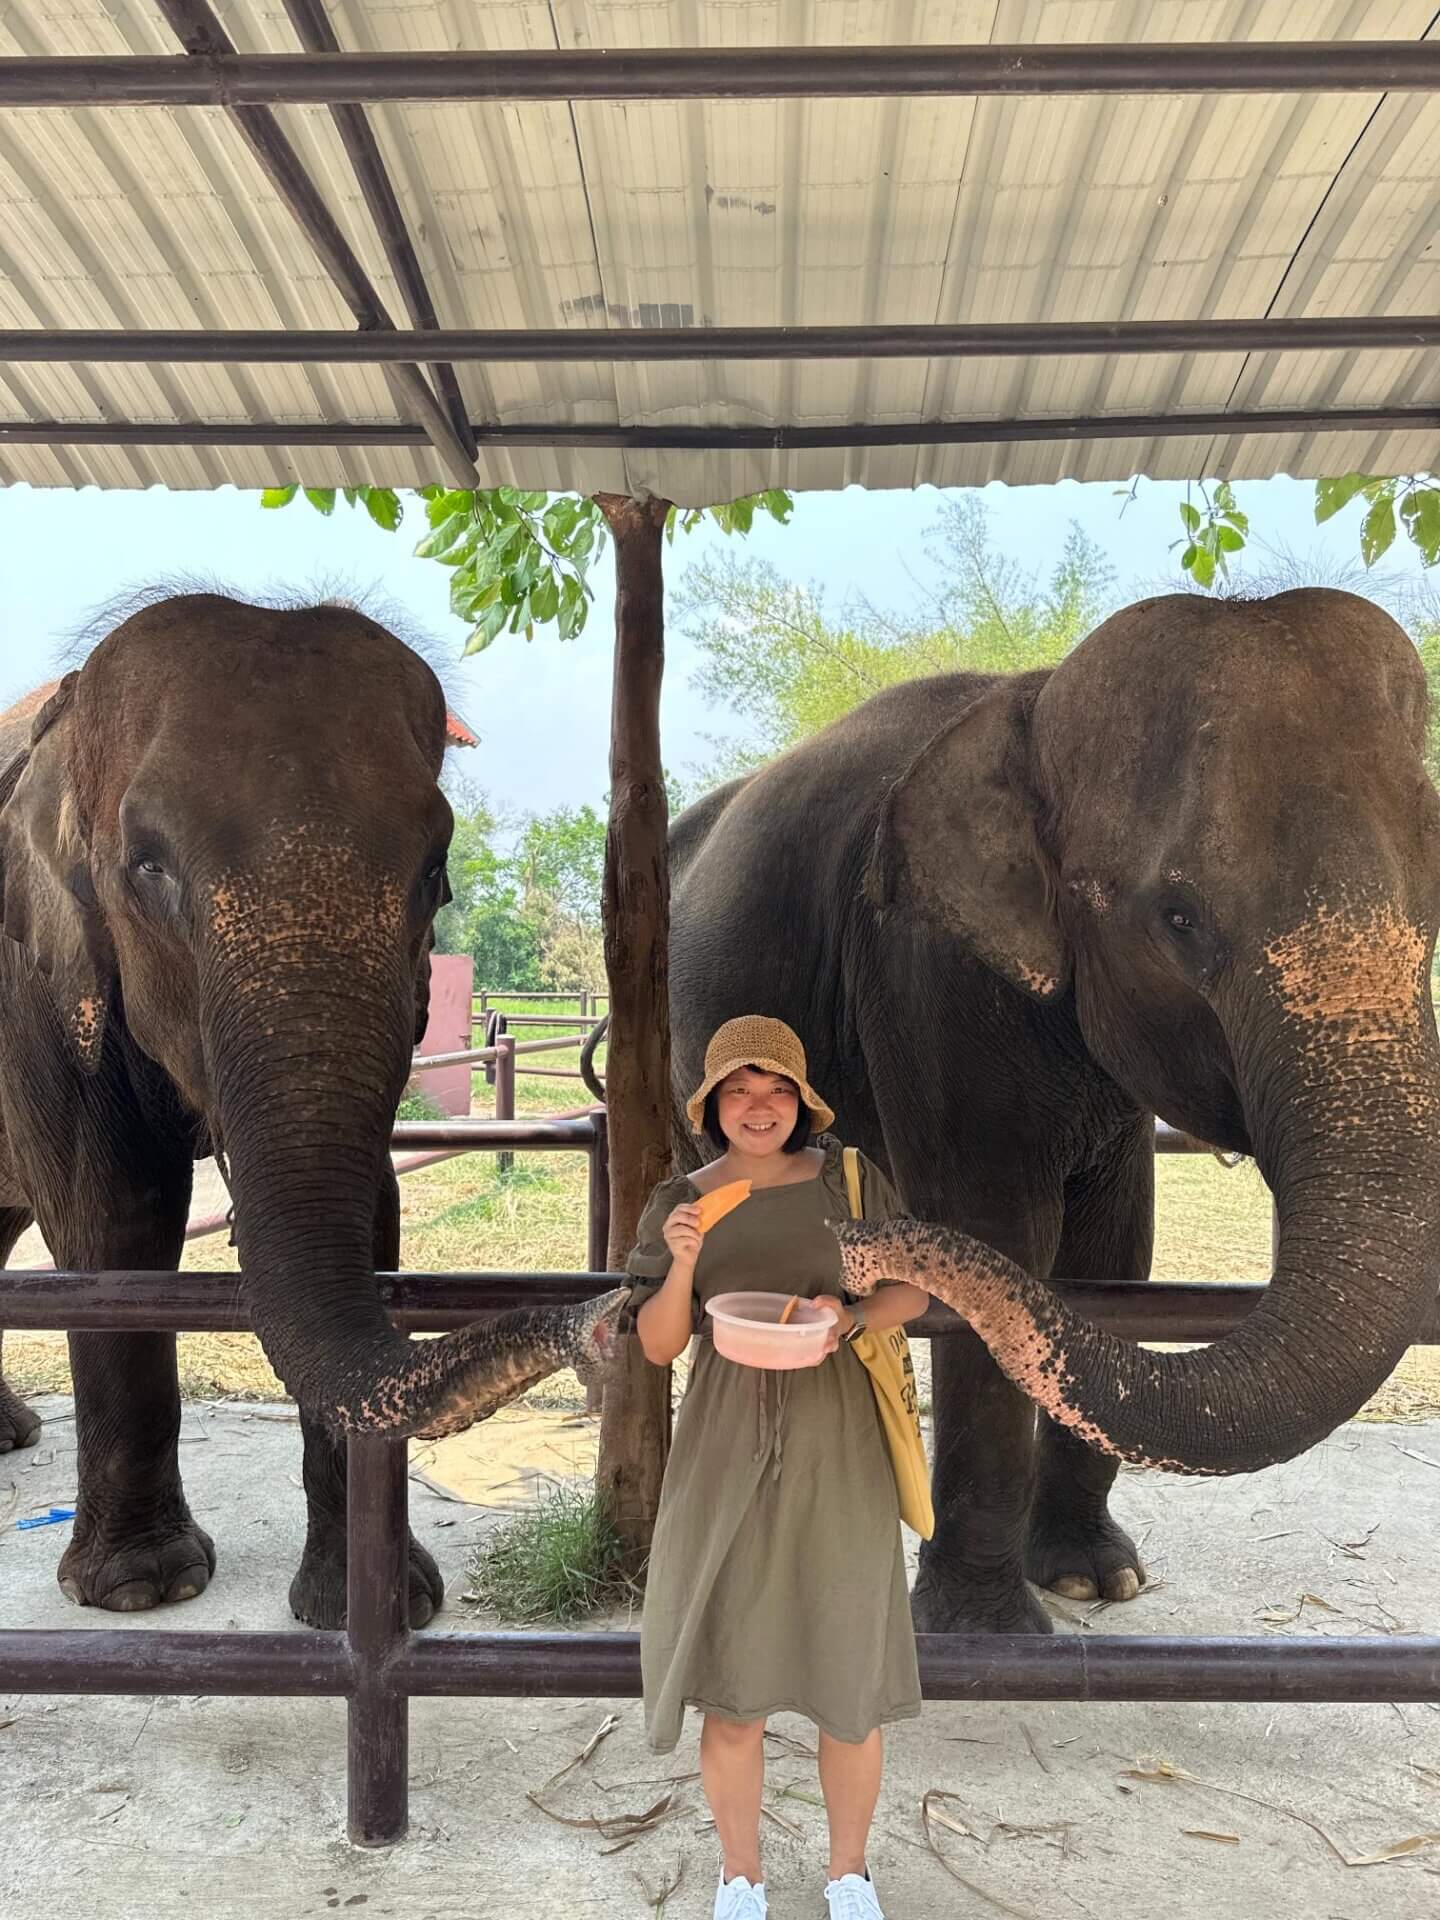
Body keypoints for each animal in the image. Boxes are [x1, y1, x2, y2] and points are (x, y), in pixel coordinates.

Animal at [0, 595, 622, 1620]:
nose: (609, 1315)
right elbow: (114, 1217)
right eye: (146, 867)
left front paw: (377, 1604)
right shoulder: (35, 985)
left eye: (436, 867)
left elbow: (373, 1208)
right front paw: (143, 1591)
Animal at [672, 587, 1440, 1635]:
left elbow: (1113, 1256)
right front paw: (982, 1630)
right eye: (1179, 920)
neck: (1035, 704)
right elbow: (999, 1236)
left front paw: (1091, 1581)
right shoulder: (929, 975)